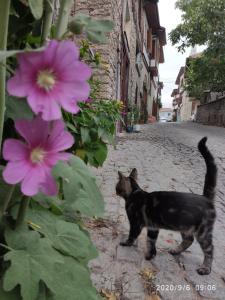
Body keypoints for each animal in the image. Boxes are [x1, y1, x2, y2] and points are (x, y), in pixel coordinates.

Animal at [115, 137, 217, 276]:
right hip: (185, 226)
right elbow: (151, 242)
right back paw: (176, 250)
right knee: (189, 240)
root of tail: (206, 198)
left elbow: (132, 235)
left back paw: (205, 268)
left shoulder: (136, 223)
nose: (115, 191)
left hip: (203, 231)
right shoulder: (153, 227)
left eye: (117, 186)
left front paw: (127, 243)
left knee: (209, 249)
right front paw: (150, 256)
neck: (135, 192)